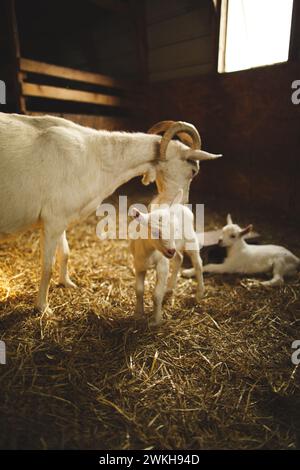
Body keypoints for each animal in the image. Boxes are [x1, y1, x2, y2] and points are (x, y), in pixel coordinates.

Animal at [0, 113, 220, 312]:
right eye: (193, 171)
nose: (183, 204)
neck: (94, 156)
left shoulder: (59, 218)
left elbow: (66, 253)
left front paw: (66, 283)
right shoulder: (53, 220)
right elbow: (47, 266)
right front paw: (43, 308)